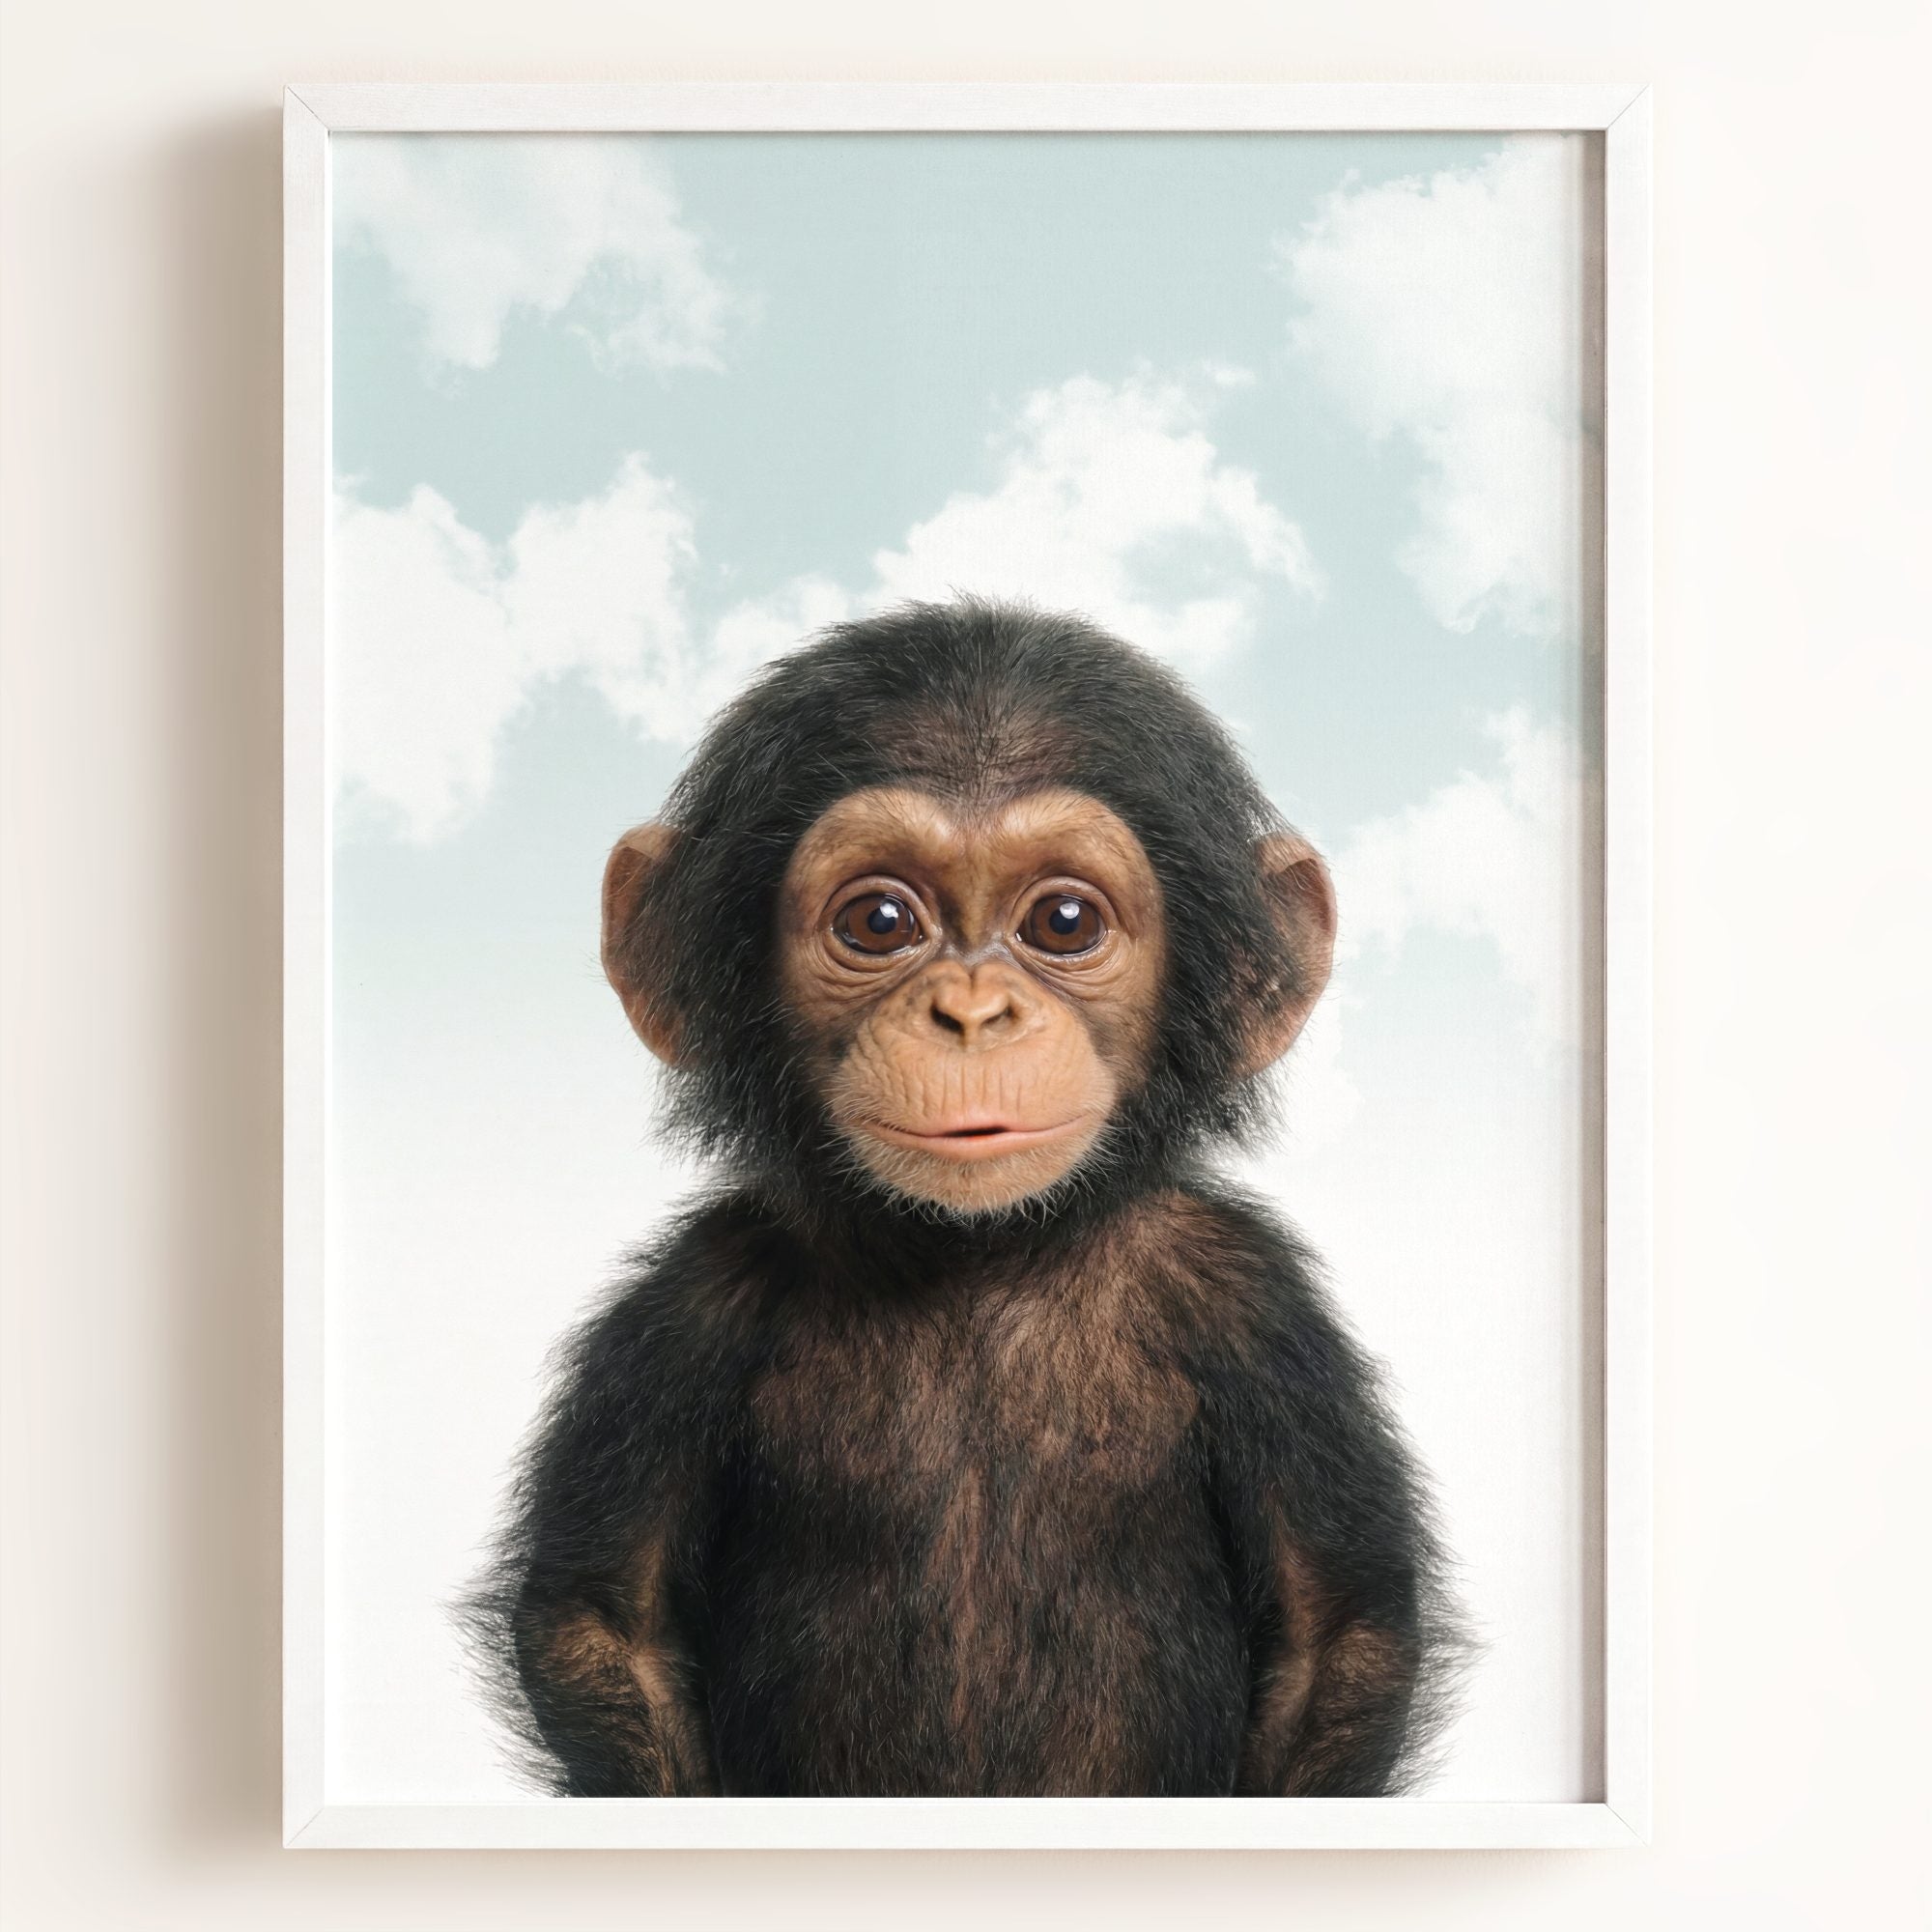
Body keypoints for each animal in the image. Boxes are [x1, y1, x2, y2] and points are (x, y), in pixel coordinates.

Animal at [463, 597, 1465, 1798]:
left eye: (1064, 920)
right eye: (880, 921)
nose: (973, 1012)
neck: (974, 1253)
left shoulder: (1255, 1306)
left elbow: (1335, 1634)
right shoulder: (686, 1307)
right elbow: (605, 1622)